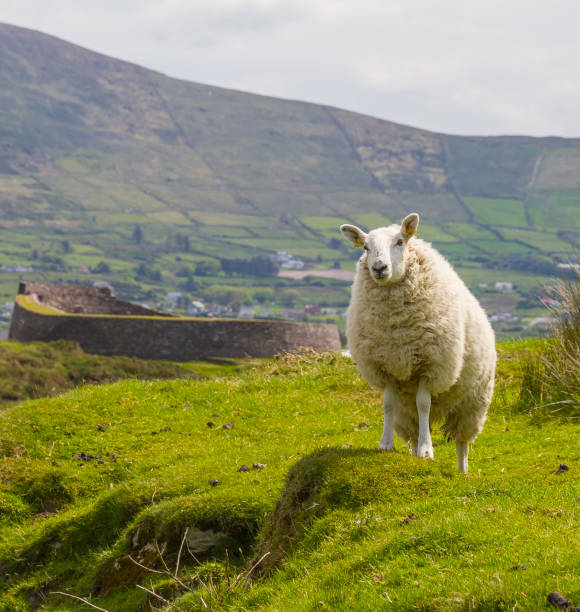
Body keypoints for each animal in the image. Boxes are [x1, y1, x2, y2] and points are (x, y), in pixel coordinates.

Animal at [340, 213, 498, 476]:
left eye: (400, 242)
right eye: (365, 247)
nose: (379, 268)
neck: (396, 325)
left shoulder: (431, 367)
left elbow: (424, 403)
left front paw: (427, 450)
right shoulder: (385, 368)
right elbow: (388, 405)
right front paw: (386, 445)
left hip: (473, 403)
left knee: (462, 442)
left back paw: (461, 471)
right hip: (408, 414)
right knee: (414, 427)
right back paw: (414, 453)